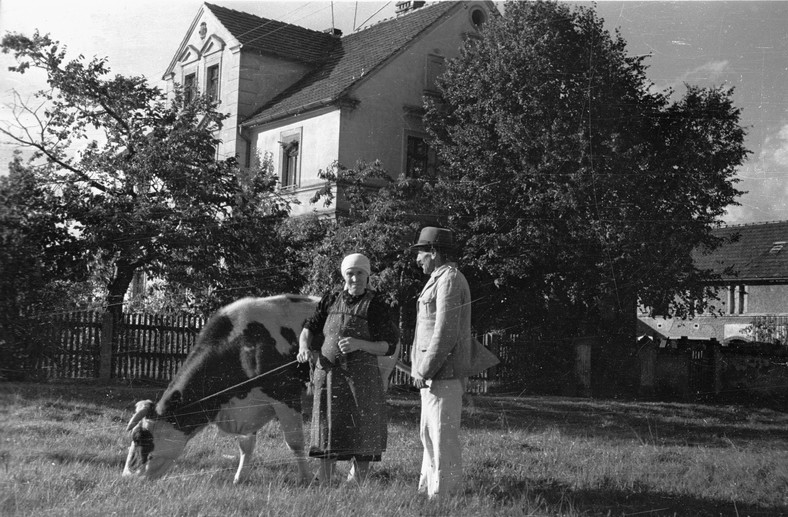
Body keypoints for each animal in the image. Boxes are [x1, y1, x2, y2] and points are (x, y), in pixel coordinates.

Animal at [123, 294, 406, 484]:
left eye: (141, 438)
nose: (127, 475)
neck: (242, 345)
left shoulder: (285, 396)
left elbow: (294, 442)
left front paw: (306, 479)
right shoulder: (246, 404)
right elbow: (246, 445)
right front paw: (240, 478)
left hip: (378, 379)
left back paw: (353, 475)